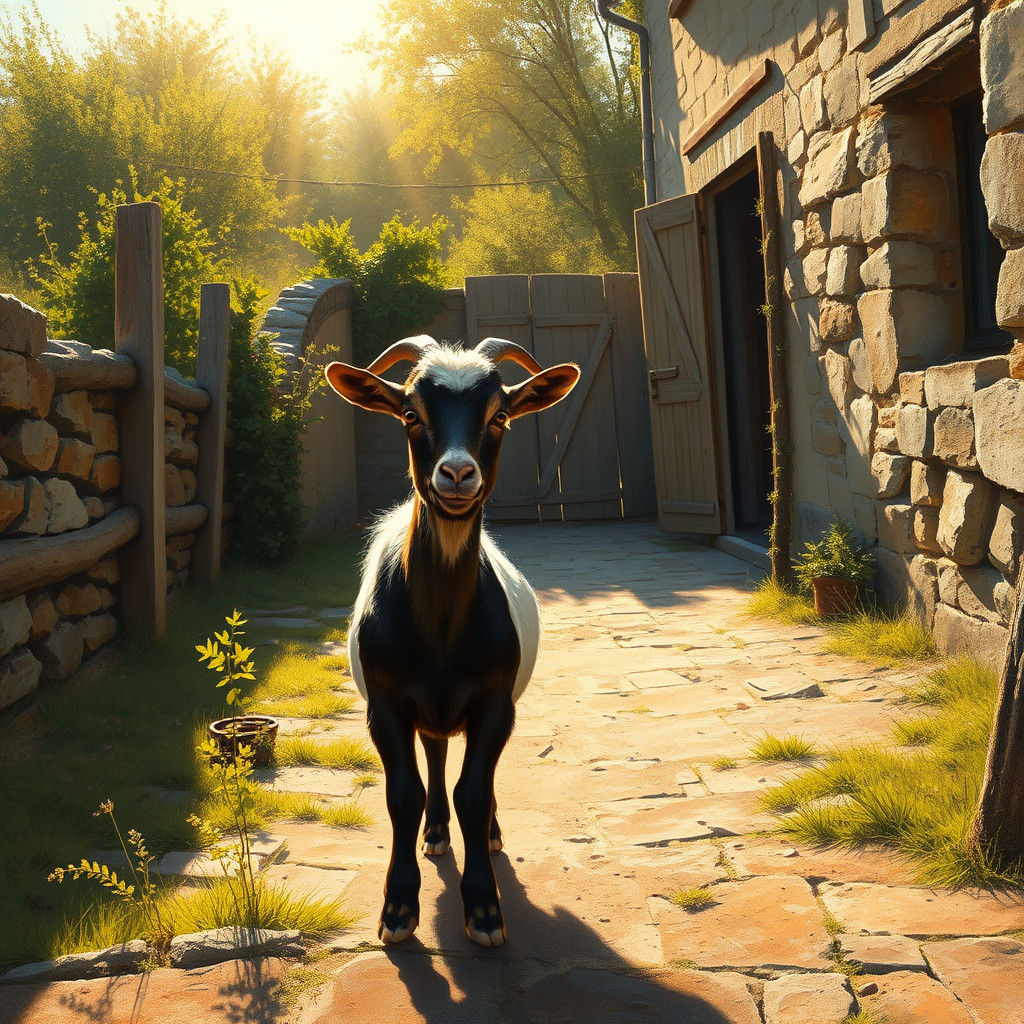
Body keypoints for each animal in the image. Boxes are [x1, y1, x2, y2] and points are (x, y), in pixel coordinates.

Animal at [324, 335, 579, 947]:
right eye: (410, 413)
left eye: (500, 415)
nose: (458, 474)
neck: (439, 632)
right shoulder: (385, 703)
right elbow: (404, 794)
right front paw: (397, 908)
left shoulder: (495, 702)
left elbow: (474, 791)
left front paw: (484, 908)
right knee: (436, 752)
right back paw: (437, 832)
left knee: (464, 770)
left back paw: (487, 833)